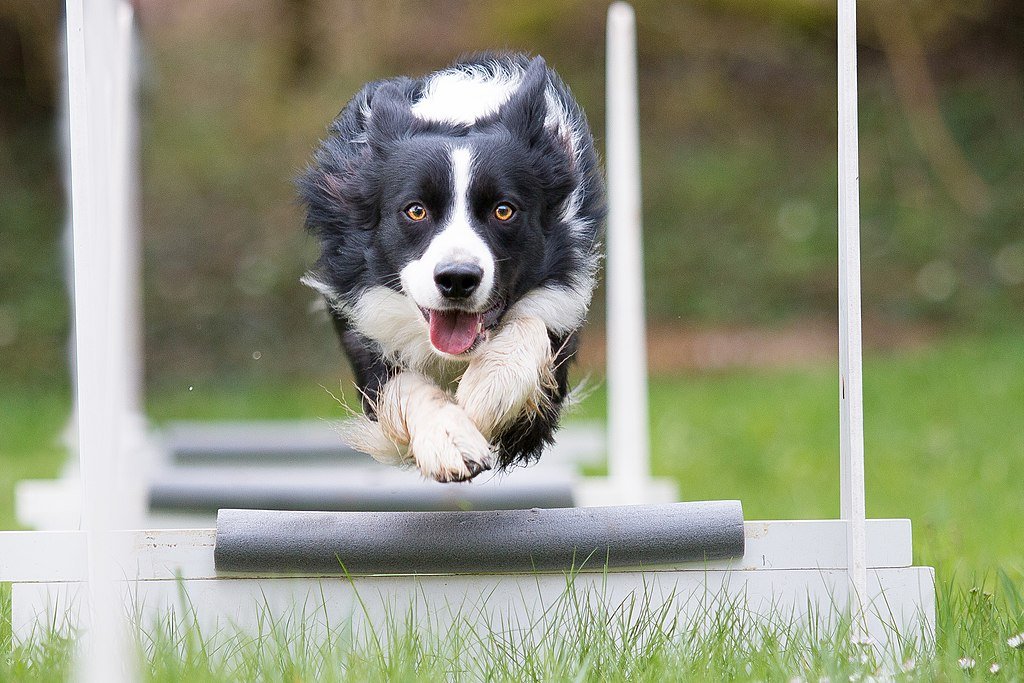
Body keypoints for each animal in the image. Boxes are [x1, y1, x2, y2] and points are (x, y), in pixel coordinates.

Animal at [296, 52, 602, 481]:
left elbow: (531, 326)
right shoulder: (361, 322)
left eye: (503, 210)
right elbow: (400, 384)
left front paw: (485, 394)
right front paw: (449, 438)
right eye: (416, 210)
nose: (457, 280)